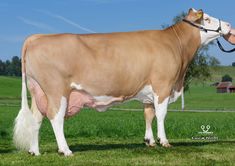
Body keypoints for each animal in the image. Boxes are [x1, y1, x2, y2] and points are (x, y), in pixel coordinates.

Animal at [13, 8, 231, 156]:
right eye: (207, 18)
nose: (229, 25)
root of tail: (36, 37)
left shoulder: (149, 91)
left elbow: (148, 114)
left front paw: (149, 141)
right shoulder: (163, 85)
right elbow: (161, 114)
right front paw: (164, 141)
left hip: (38, 91)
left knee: (37, 118)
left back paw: (35, 151)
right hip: (57, 90)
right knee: (55, 117)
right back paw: (65, 150)